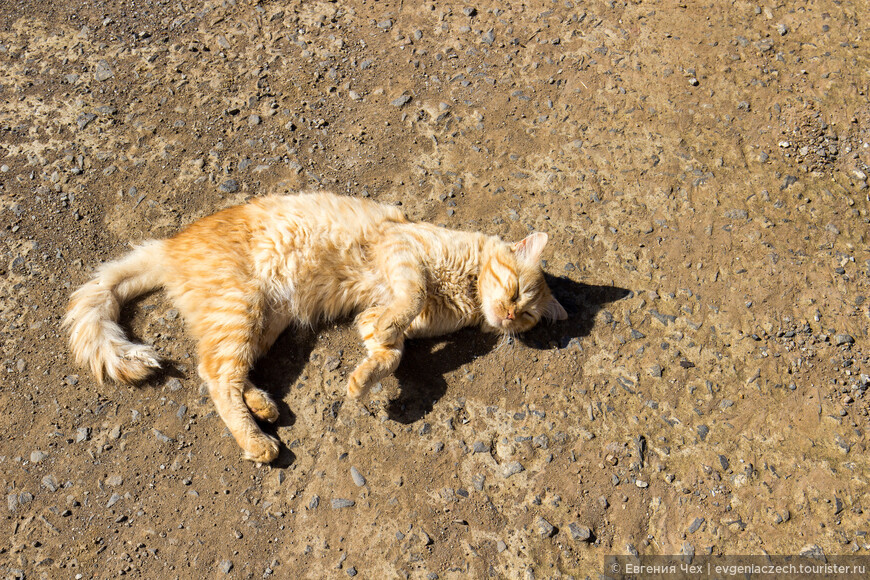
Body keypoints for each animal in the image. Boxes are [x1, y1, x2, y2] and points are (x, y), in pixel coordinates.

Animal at [68, 190, 572, 462]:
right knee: (214, 376)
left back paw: (264, 406)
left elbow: (389, 354)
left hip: (264, 321)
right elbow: (405, 305)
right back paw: (258, 441)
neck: (462, 290)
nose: (511, 317)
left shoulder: (374, 316)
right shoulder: (403, 254)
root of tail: (169, 246)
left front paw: (361, 383)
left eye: (529, 314)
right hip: (242, 309)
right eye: (516, 293)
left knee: (225, 371)